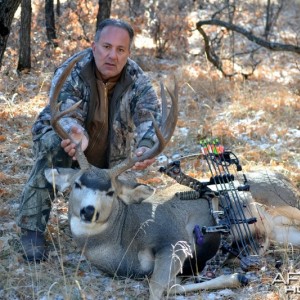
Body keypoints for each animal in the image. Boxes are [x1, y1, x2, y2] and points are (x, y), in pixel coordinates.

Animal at [45, 55, 300, 298]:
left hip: (280, 203)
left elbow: (159, 288)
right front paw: (237, 276)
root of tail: (282, 177)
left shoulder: (173, 240)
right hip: (279, 231)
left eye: (110, 191)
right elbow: (169, 286)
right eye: (77, 184)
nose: (88, 211)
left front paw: (237, 277)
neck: (123, 242)